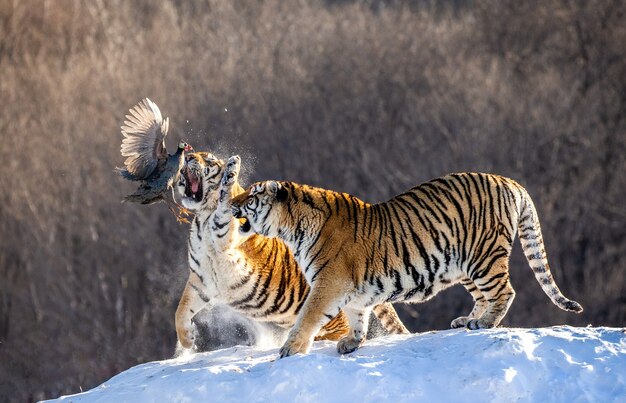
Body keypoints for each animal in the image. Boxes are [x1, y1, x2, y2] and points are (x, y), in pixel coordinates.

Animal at [173, 153, 408, 352]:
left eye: (209, 159)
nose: (189, 156)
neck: (202, 218)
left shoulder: (225, 238)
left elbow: (224, 202)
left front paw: (232, 168)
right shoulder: (201, 280)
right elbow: (181, 311)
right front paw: (188, 341)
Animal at [227, 166, 584, 358]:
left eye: (252, 195)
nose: (231, 203)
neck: (292, 229)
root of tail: (510, 182)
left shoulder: (327, 284)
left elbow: (307, 317)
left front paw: (290, 350)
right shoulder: (352, 291)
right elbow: (358, 316)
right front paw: (352, 343)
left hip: (483, 257)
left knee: (505, 292)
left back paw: (483, 323)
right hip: (465, 265)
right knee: (484, 296)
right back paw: (466, 320)